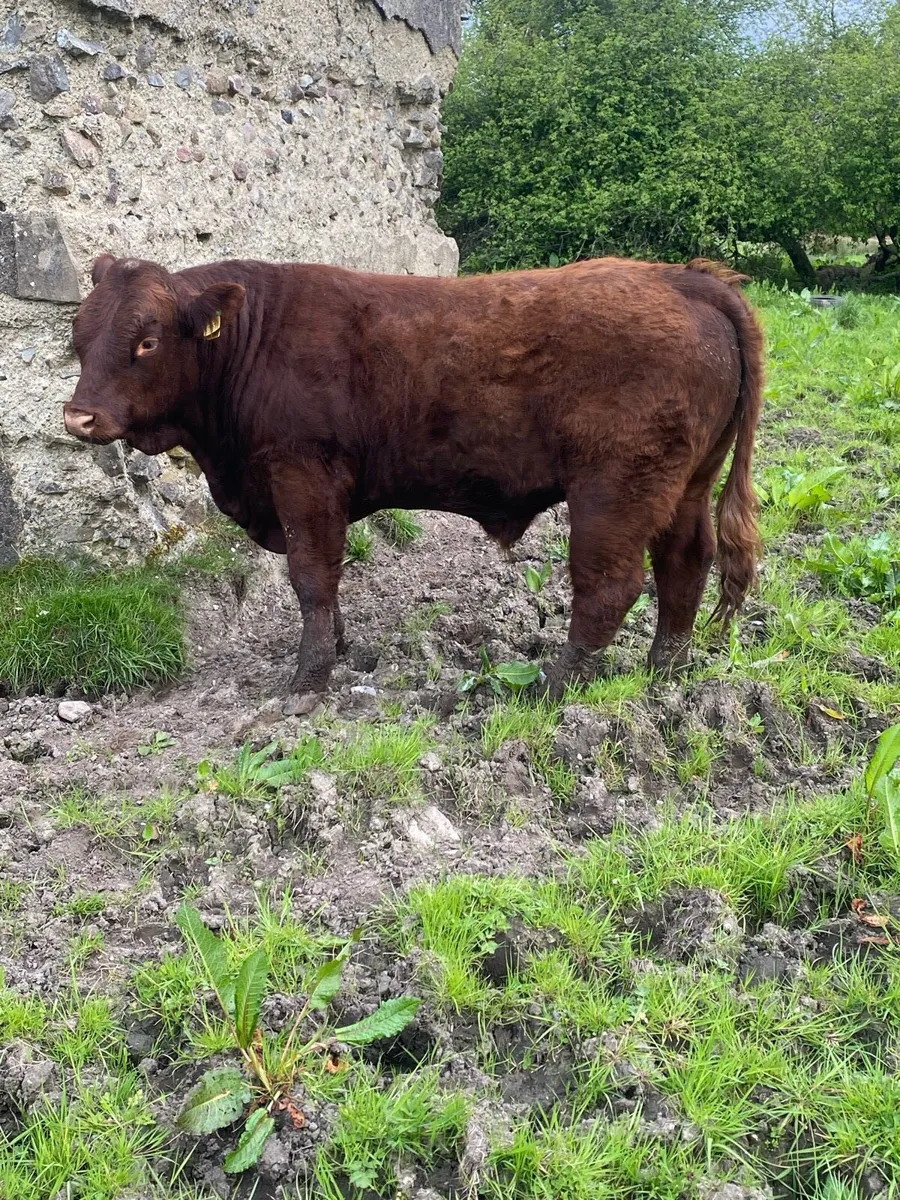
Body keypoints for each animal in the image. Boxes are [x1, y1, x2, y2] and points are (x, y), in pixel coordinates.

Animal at [63, 254, 763, 701]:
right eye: (78, 332)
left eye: (148, 341)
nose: (79, 416)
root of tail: (684, 278)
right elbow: (324, 579)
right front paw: (337, 647)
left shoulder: (303, 475)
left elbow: (311, 575)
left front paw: (306, 682)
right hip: (686, 484)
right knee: (686, 561)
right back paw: (666, 672)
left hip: (615, 489)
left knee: (610, 587)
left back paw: (552, 689)